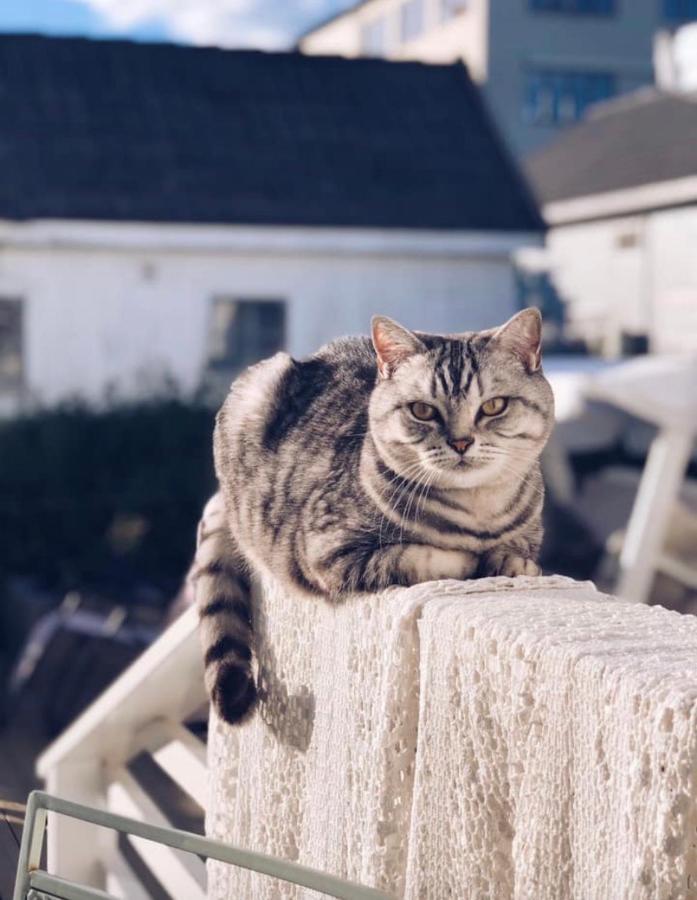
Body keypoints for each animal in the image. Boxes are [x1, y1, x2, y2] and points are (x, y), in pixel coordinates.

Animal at [196, 310, 556, 724]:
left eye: (494, 406)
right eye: (423, 411)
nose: (461, 442)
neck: (477, 508)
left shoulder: (527, 533)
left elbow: (518, 551)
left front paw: (511, 561)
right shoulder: (329, 551)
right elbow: (422, 556)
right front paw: (474, 561)